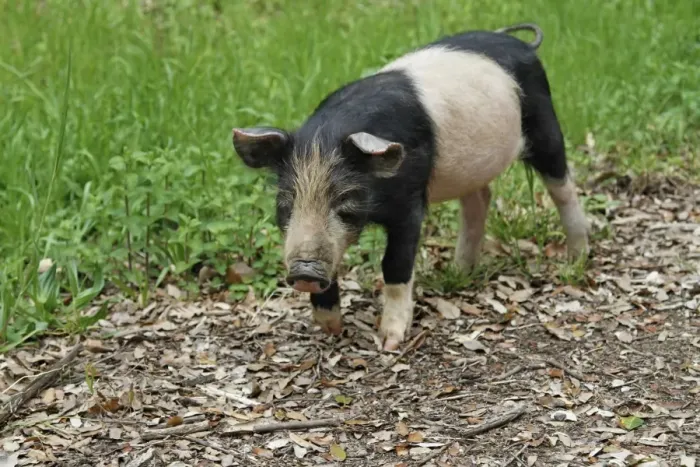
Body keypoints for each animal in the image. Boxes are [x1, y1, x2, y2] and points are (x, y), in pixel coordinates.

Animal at [231, 23, 590, 351]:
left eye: (345, 203)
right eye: (286, 203)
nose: (305, 271)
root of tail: (522, 45)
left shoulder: (409, 204)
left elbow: (395, 265)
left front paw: (389, 342)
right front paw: (331, 329)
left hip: (544, 124)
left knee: (562, 187)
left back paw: (577, 258)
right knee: (479, 199)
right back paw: (458, 272)